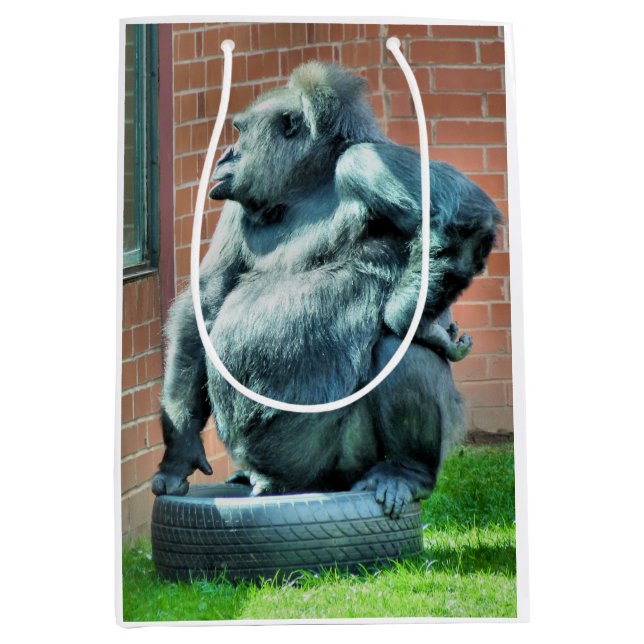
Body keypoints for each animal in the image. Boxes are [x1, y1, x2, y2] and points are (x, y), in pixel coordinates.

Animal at [152, 62, 500, 518]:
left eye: (240, 132)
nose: (226, 155)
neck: (307, 183)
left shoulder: (366, 162)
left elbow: (465, 218)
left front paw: (416, 321)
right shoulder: (235, 203)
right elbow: (206, 300)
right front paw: (179, 448)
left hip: (341, 466)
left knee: (398, 349)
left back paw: (405, 472)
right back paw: (253, 477)